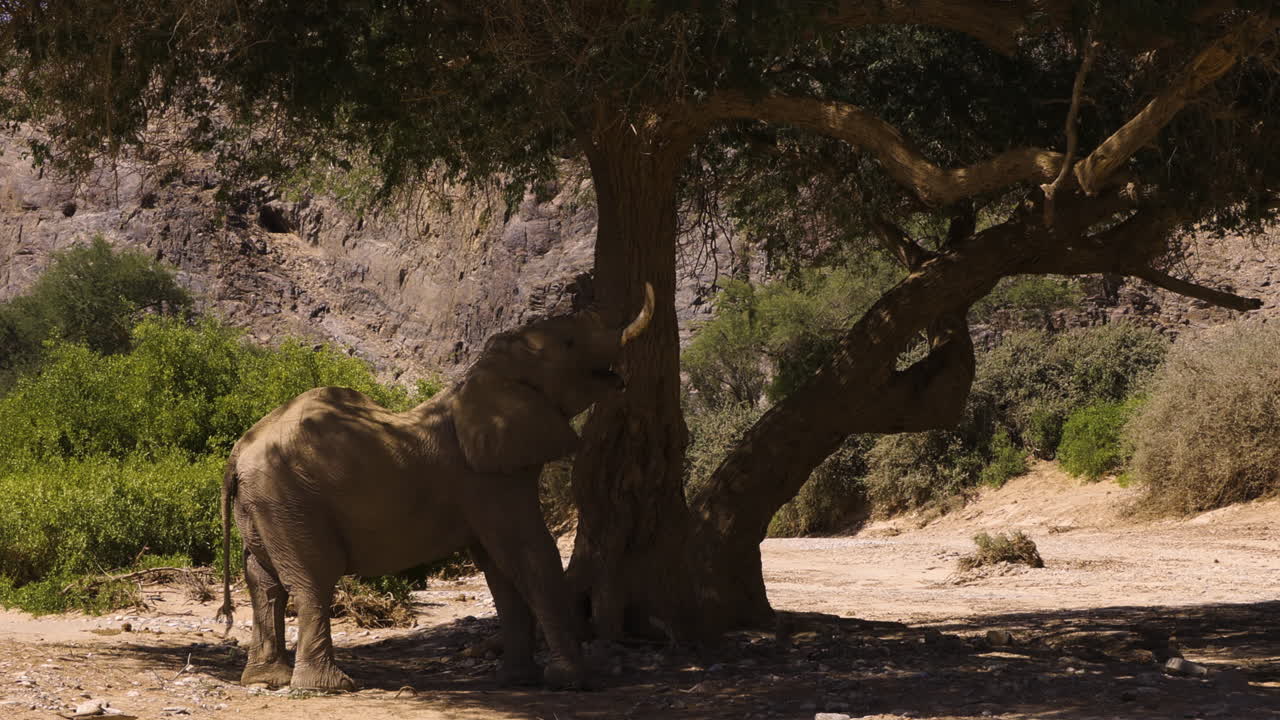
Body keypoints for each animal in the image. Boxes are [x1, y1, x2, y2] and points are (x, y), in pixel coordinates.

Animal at [216, 284, 654, 692]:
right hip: (290, 501)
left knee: (263, 583)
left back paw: (266, 679)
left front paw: (517, 679)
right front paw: (573, 680)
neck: (483, 379)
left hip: (262, 505)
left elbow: (500, 569)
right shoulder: (490, 480)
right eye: (569, 343)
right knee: (312, 581)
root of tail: (238, 454)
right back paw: (328, 686)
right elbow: (531, 556)